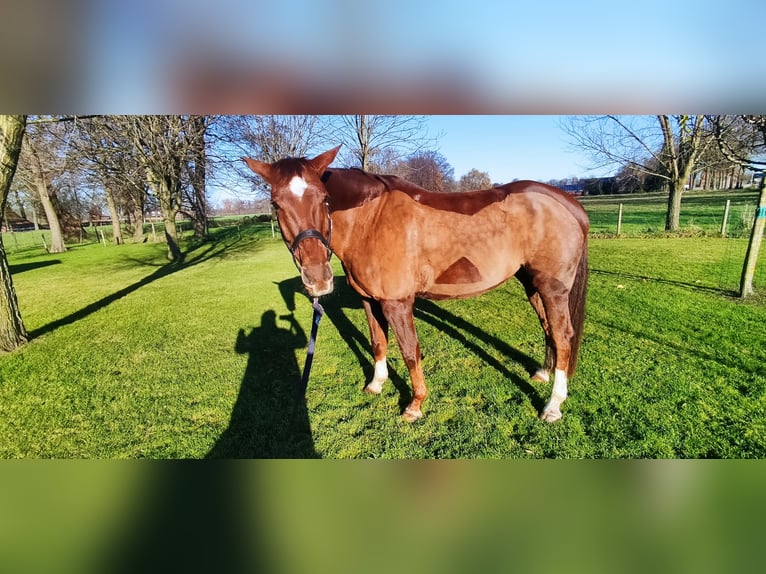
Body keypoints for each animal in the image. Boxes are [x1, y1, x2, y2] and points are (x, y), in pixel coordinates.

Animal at [243, 146, 592, 426]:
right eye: (276, 204)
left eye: (325, 199)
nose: (318, 278)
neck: (371, 221)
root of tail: (569, 204)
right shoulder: (369, 300)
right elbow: (378, 342)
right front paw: (376, 384)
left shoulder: (397, 303)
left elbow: (410, 351)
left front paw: (415, 405)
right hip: (532, 284)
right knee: (548, 329)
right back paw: (543, 374)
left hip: (553, 288)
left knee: (563, 336)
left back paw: (553, 405)